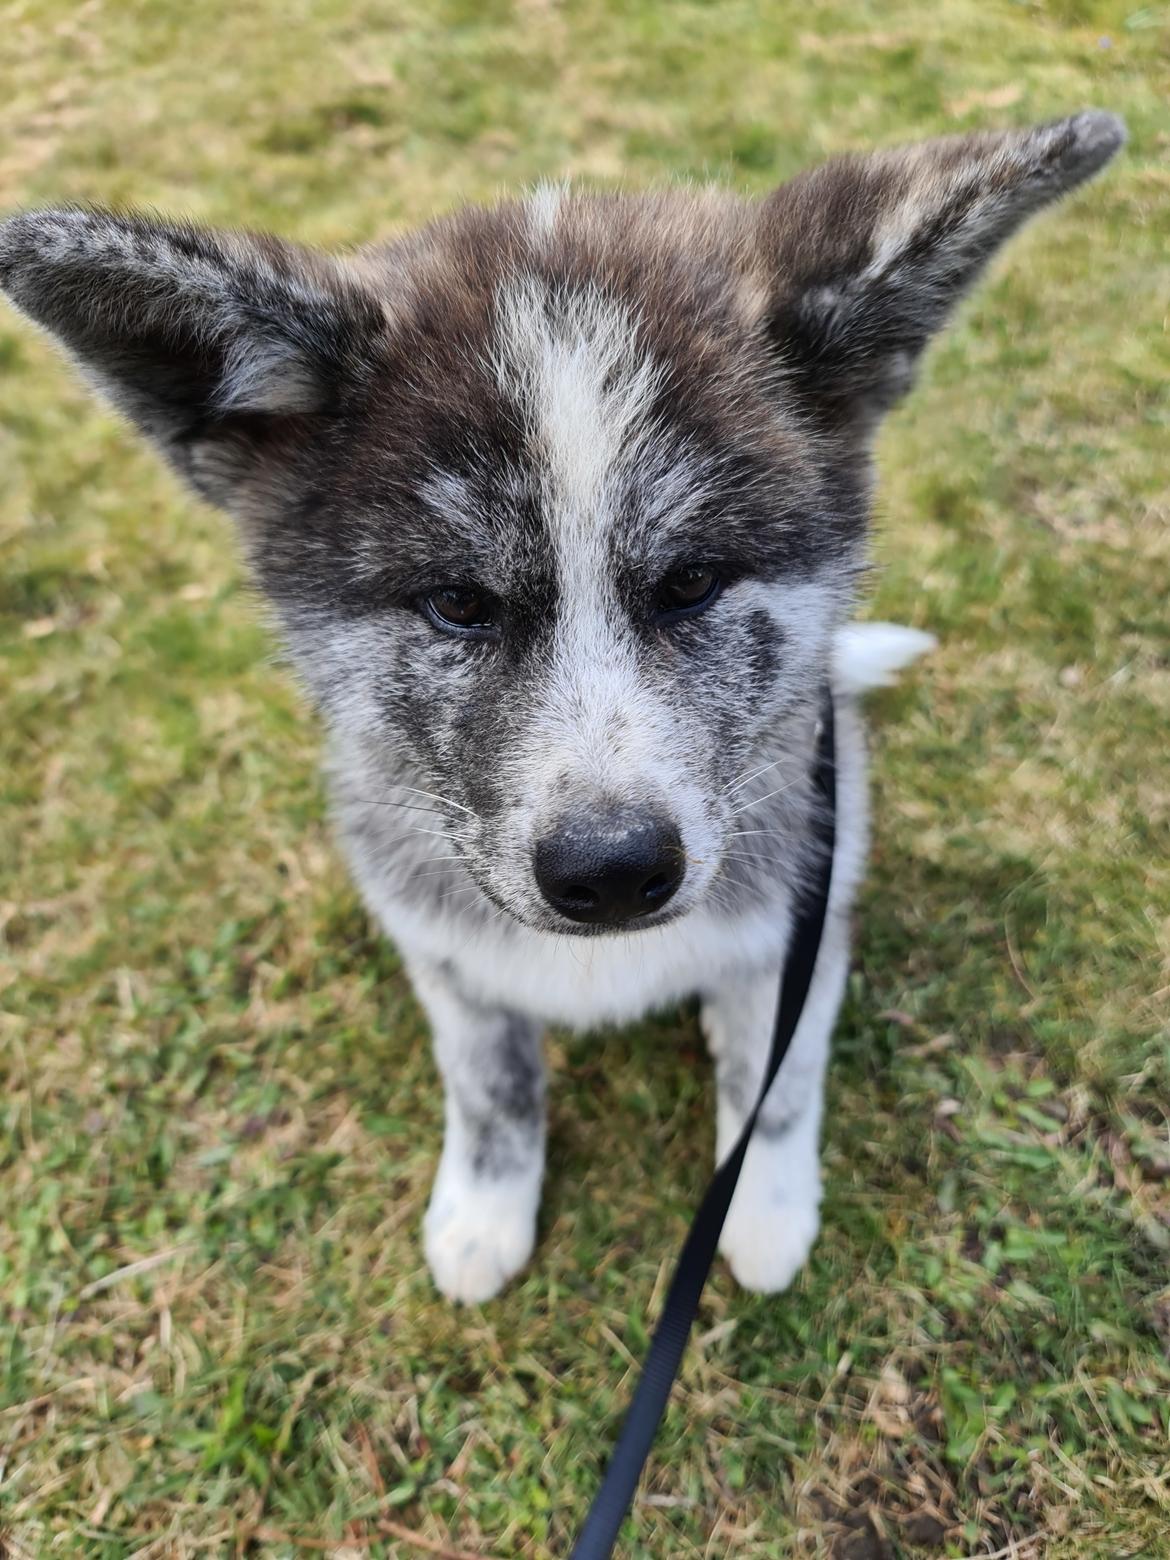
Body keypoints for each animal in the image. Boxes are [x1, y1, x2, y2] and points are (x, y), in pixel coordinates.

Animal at [4, 113, 1129, 1304]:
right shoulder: (447, 958)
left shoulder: (796, 926)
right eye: (458, 602)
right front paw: (484, 1211)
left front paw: (765, 1211)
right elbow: (491, 1084)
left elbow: (773, 1084)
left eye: (693, 581)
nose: (614, 873)